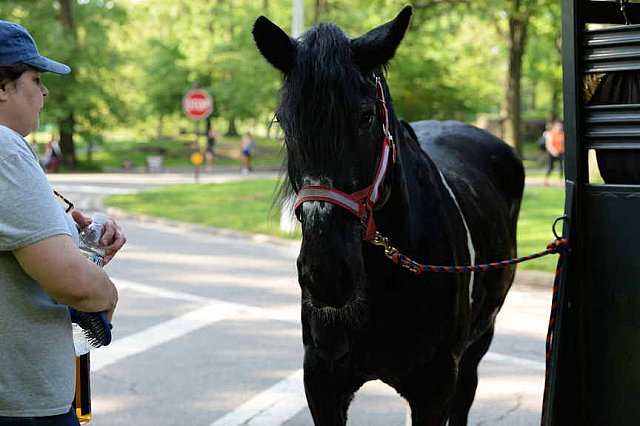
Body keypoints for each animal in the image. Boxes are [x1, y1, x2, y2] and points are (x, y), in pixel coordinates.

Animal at [252, 5, 524, 424]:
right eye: (284, 120)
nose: (326, 274)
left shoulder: (436, 387)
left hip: (480, 341)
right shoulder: (322, 380)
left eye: (365, 117)